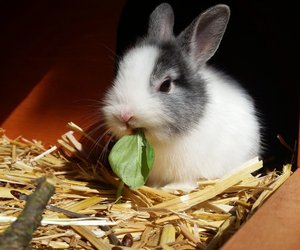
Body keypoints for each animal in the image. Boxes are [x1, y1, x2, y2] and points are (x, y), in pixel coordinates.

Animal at [101, 2, 260, 189]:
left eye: (166, 85)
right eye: (119, 73)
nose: (124, 115)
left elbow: (187, 182)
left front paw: (173, 188)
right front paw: (155, 187)